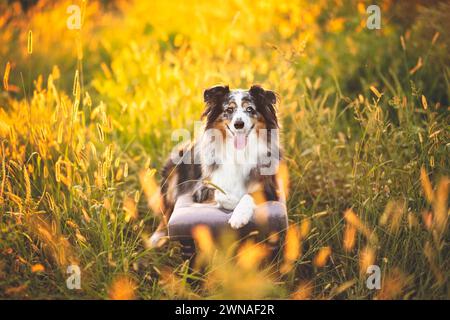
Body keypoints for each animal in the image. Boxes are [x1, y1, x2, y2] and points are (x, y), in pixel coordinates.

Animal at [150, 84, 284, 245]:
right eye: (229, 110)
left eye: (250, 109)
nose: (239, 124)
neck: (238, 152)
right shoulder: (201, 189)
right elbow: (219, 192)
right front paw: (232, 201)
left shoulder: (270, 188)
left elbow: (248, 195)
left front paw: (239, 216)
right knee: (166, 210)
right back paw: (157, 237)